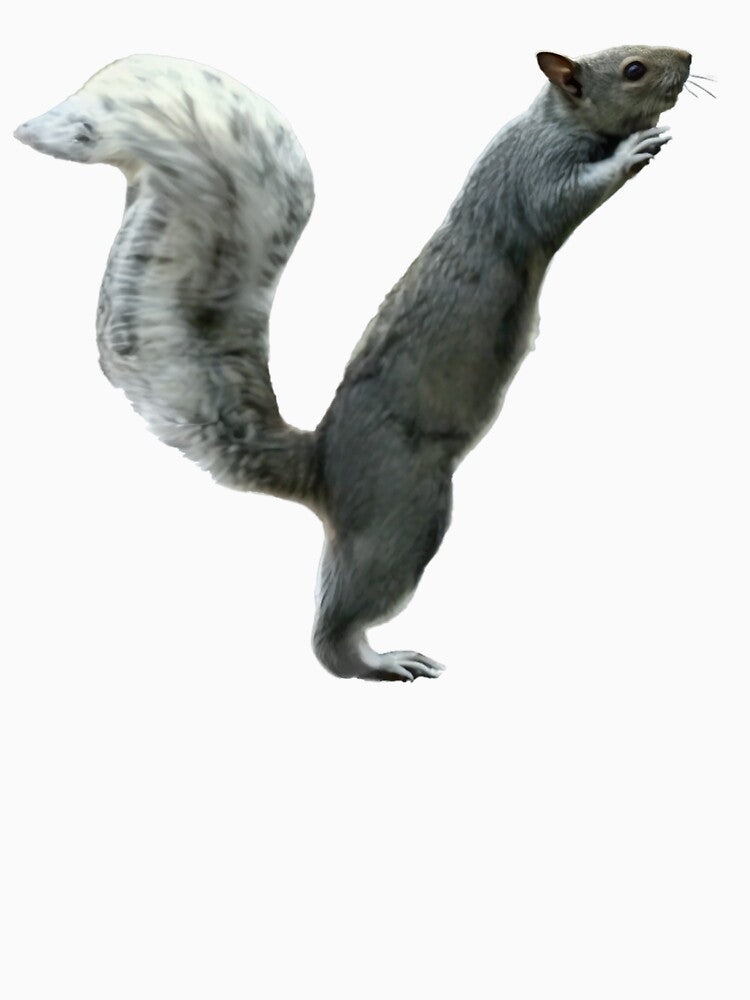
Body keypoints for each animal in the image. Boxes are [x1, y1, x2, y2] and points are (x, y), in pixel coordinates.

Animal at [14, 45, 693, 681]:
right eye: (633, 69)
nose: (687, 58)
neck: (553, 117)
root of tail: (324, 467)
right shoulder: (534, 174)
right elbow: (566, 198)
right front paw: (634, 149)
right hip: (404, 511)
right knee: (340, 622)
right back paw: (380, 662)